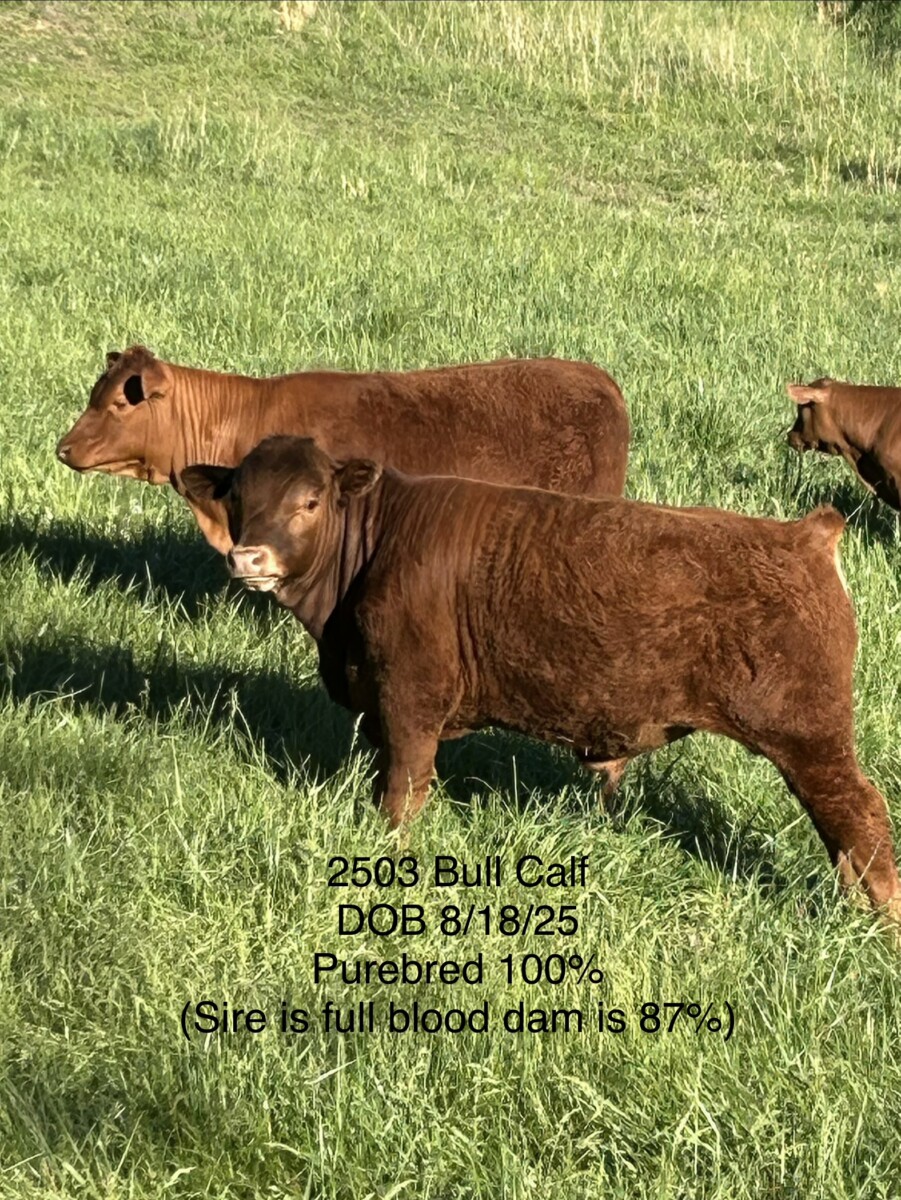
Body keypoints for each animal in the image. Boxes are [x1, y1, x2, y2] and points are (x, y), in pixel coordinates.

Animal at [181, 435, 901, 921]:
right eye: (238, 498)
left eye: (309, 500)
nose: (249, 557)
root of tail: (804, 534)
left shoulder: (410, 698)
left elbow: (401, 795)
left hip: (808, 735)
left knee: (861, 814)